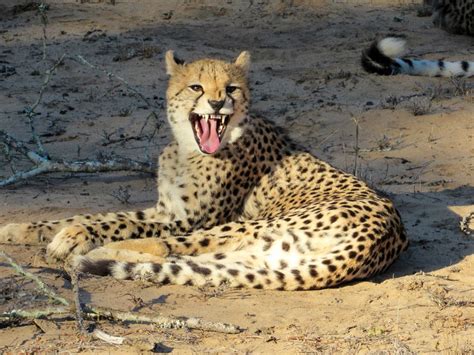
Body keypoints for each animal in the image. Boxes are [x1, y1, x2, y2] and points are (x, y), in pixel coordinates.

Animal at [0, 50, 408, 290]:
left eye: (231, 88)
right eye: (196, 86)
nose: (216, 103)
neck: (187, 149)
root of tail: (383, 236)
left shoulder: (186, 219)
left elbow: (116, 223)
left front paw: (73, 238)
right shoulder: (164, 210)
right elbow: (93, 215)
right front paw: (23, 228)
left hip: (248, 227)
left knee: (167, 248)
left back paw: (95, 254)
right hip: (260, 255)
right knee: (189, 261)